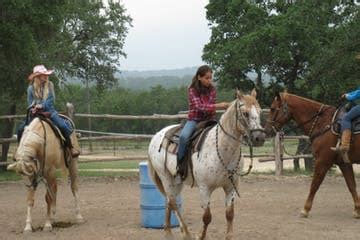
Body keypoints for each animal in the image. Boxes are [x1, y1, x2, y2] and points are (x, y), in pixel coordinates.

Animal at [148, 89, 266, 240]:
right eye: (245, 113)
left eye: (260, 111)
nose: (259, 138)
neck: (223, 150)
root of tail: (157, 135)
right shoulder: (204, 188)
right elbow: (207, 217)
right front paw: (200, 236)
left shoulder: (231, 187)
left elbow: (229, 214)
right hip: (165, 177)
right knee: (173, 202)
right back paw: (186, 233)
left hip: (176, 181)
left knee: (169, 201)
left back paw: (168, 232)